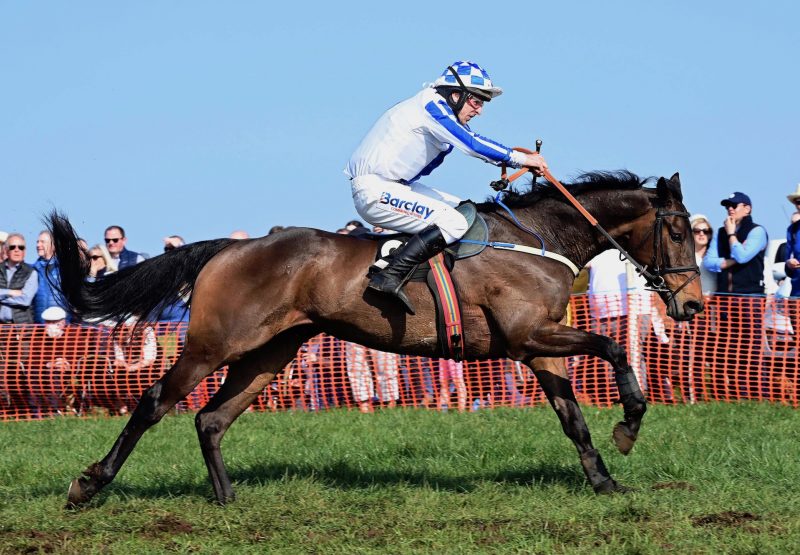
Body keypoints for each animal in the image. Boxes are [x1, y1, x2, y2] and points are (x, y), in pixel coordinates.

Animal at [48, 170, 700, 508]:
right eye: (674, 230)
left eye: (694, 232)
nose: (692, 303)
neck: (538, 238)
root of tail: (231, 247)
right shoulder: (529, 335)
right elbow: (614, 349)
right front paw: (630, 422)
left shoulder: (538, 346)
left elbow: (574, 419)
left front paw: (604, 480)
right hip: (215, 344)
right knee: (155, 402)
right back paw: (89, 483)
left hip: (268, 354)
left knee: (211, 419)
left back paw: (228, 498)